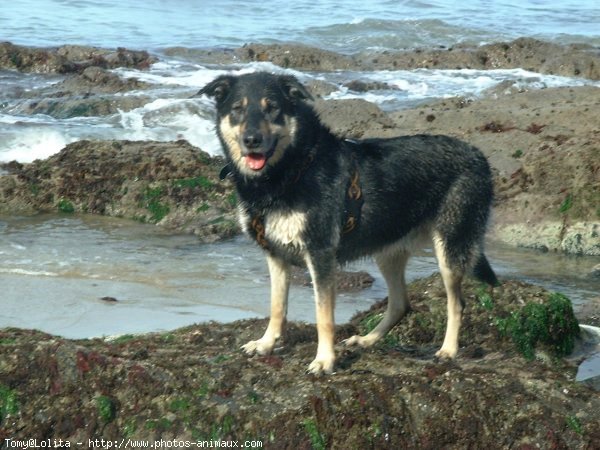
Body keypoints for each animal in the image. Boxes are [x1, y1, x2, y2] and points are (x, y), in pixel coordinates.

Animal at [199, 73, 500, 376]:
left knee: (457, 303)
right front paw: (266, 344)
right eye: (237, 109)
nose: (252, 140)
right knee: (400, 304)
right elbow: (276, 307)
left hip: (450, 247)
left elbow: (323, 316)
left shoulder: (320, 254)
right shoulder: (276, 255)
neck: (292, 170)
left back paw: (448, 350)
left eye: (272, 108)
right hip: (387, 251)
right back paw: (367, 340)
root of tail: (479, 155)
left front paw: (324, 360)